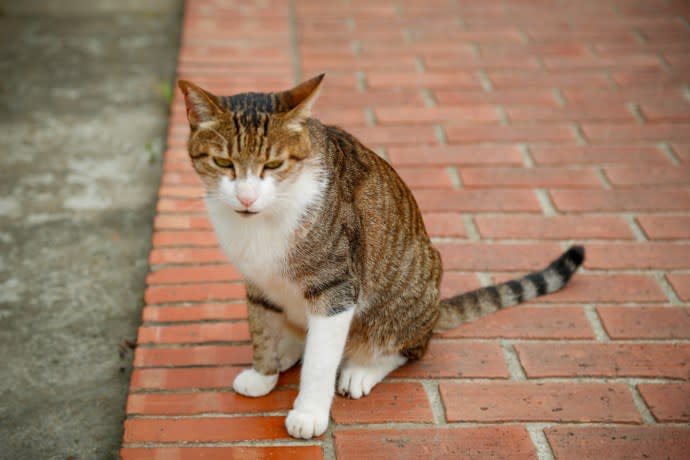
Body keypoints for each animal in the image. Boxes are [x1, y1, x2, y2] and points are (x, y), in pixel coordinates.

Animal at [176, 74, 580, 438]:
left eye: (273, 165)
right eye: (223, 162)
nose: (246, 198)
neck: (263, 220)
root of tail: (435, 312)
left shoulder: (336, 288)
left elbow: (321, 361)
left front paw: (309, 412)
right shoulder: (258, 282)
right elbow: (261, 327)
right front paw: (264, 373)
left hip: (407, 293)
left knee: (407, 347)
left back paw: (362, 367)